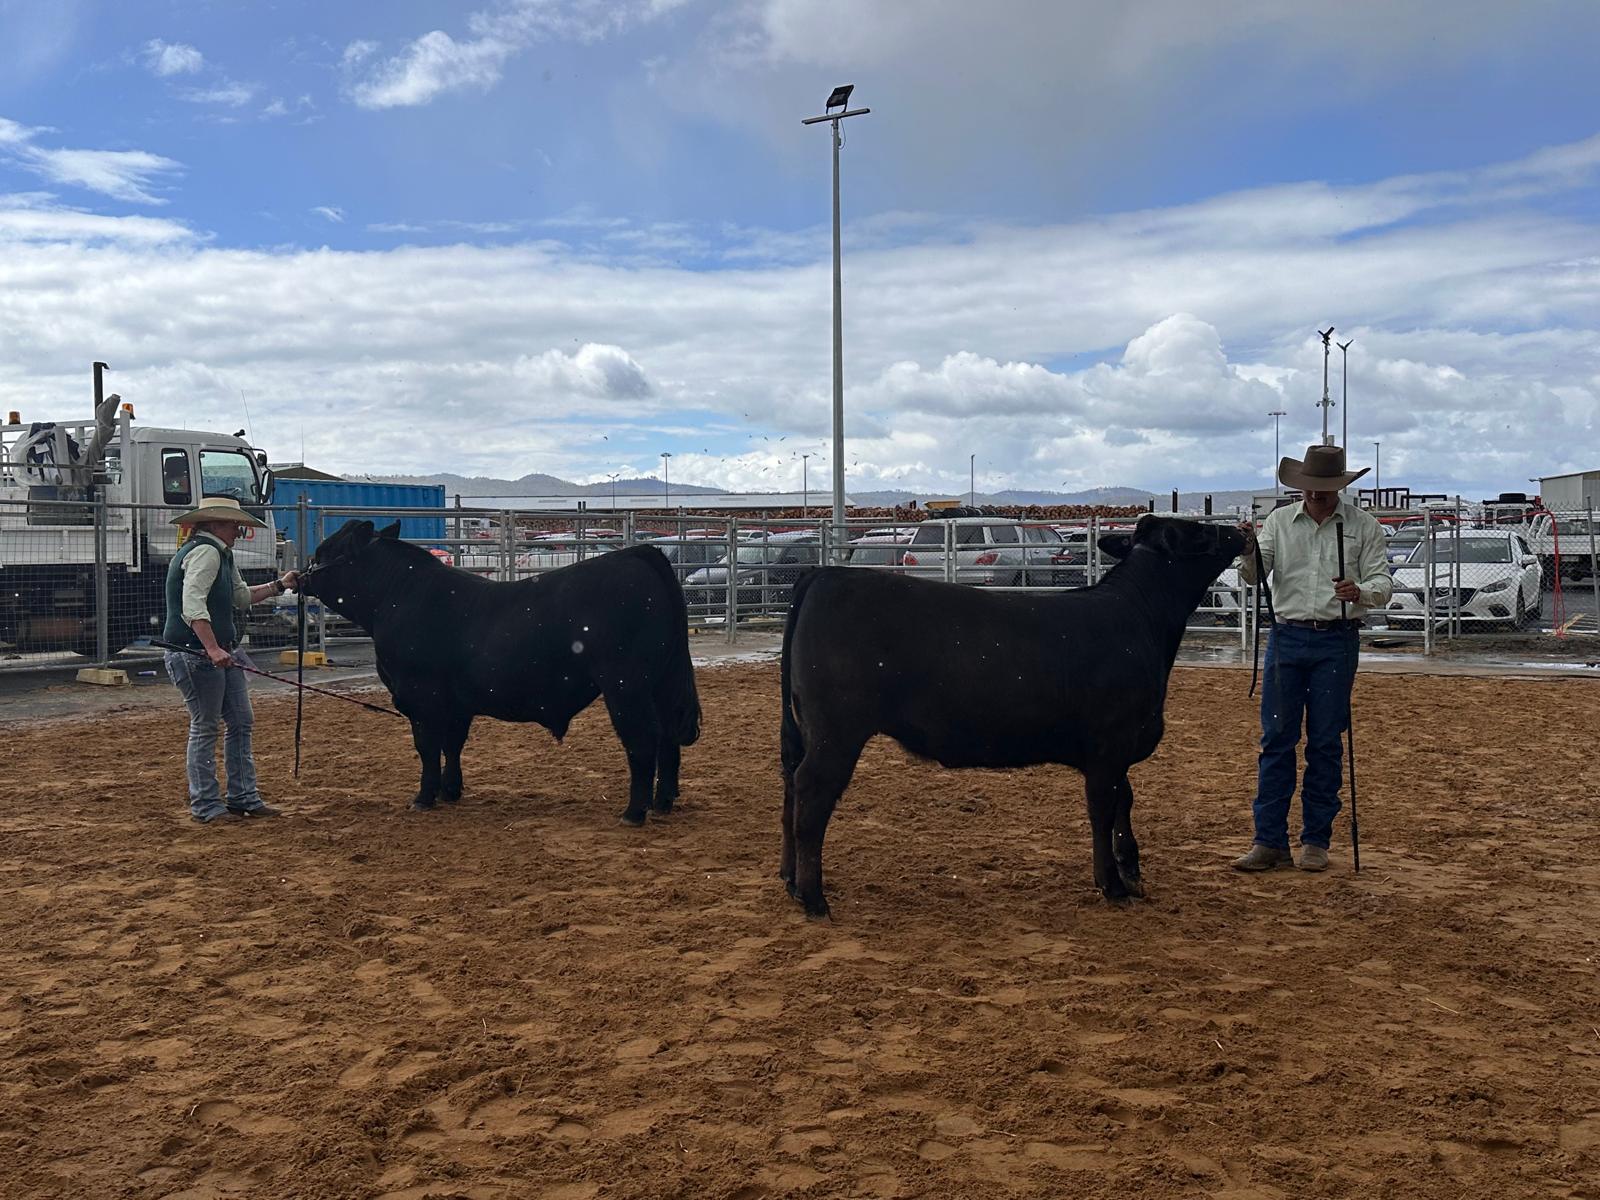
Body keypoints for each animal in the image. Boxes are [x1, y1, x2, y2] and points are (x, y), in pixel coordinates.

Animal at [300, 521, 700, 825]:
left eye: (323, 551)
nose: (301, 575)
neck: (395, 597)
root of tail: (636, 554)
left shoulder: (420, 695)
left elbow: (427, 747)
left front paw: (424, 797)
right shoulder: (455, 704)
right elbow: (452, 745)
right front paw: (450, 791)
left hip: (625, 685)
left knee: (643, 740)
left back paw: (634, 812)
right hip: (661, 683)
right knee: (668, 737)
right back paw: (663, 802)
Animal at [777, 512, 1248, 915]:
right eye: (1197, 532)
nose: (1239, 530)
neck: (1139, 620)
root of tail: (825, 573)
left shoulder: (1115, 749)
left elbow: (1124, 801)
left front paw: (1131, 871)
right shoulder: (1109, 745)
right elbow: (1103, 809)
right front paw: (1111, 884)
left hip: (808, 732)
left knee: (790, 786)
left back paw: (790, 880)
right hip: (836, 732)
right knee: (812, 793)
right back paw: (814, 899)